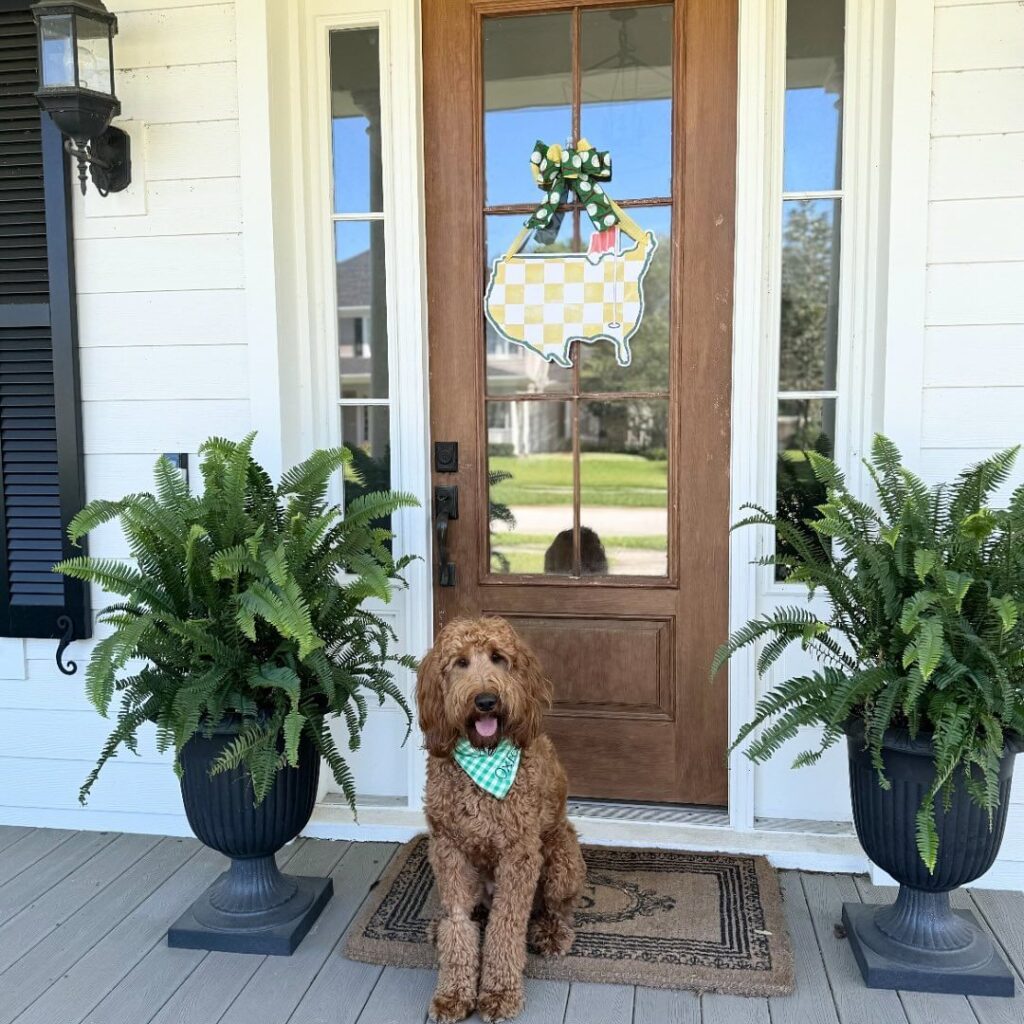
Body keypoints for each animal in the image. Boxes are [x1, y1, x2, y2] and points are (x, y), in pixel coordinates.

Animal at [415, 614, 585, 1024]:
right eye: (460, 662)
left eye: (498, 658)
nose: (486, 701)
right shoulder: (448, 850)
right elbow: (458, 923)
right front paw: (453, 994)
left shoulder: (519, 855)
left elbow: (505, 927)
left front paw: (499, 993)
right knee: (470, 914)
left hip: (562, 861)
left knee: (557, 908)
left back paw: (551, 933)